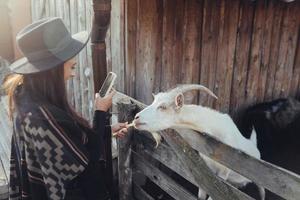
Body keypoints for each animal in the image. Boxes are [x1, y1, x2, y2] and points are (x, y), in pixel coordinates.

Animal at [134, 84, 264, 200]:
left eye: (163, 106)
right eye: (153, 102)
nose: (136, 118)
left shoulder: (223, 175)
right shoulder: (205, 174)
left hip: (259, 183)